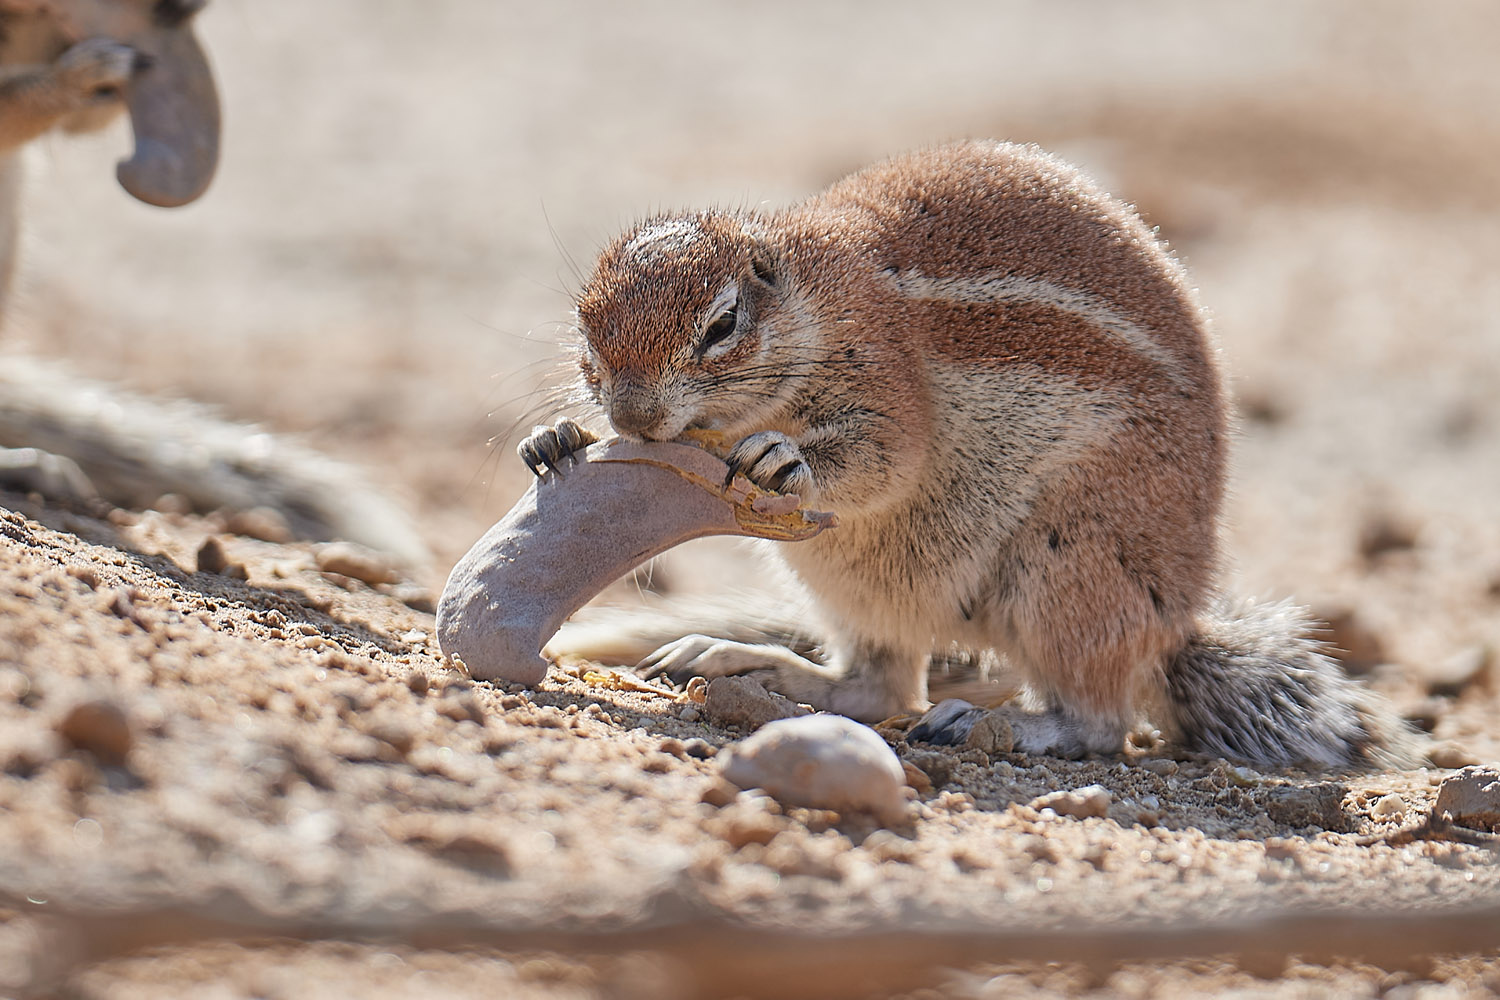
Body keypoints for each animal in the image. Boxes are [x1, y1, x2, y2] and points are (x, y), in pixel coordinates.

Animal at [531, 138, 1416, 767]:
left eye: (721, 326)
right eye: (585, 327)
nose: (636, 414)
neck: (814, 302)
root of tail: (1171, 626)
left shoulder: (887, 380)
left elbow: (886, 457)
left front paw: (788, 460)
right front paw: (557, 438)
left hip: (1068, 570)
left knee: (1099, 720)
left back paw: (1005, 728)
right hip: (845, 584)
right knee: (875, 685)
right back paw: (745, 663)